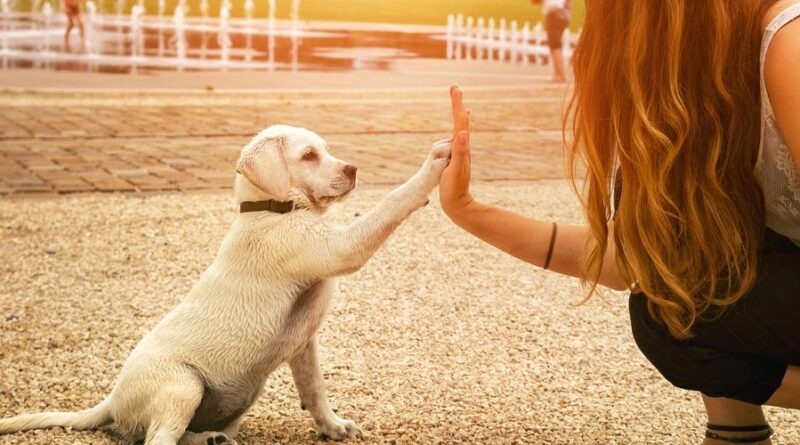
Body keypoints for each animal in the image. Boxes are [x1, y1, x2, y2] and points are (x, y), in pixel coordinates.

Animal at [0, 125, 450, 444]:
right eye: (309, 155)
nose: (353, 170)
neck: (271, 209)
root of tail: (112, 400)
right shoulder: (341, 248)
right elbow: (392, 202)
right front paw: (435, 163)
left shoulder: (304, 344)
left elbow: (315, 390)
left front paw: (332, 426)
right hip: (183, 384)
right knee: (159, 439)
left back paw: (213, 439)